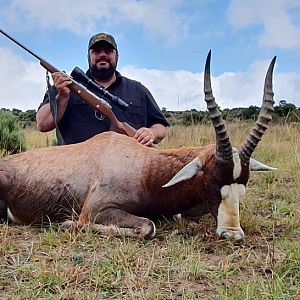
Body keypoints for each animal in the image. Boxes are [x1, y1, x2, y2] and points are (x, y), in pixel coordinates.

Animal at [0, 52, 276, 241]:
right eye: (213, 182)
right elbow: (148, 226)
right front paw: (66, 224)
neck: (145, 167)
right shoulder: (96, 209)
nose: (232, 235)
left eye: (243, 187)